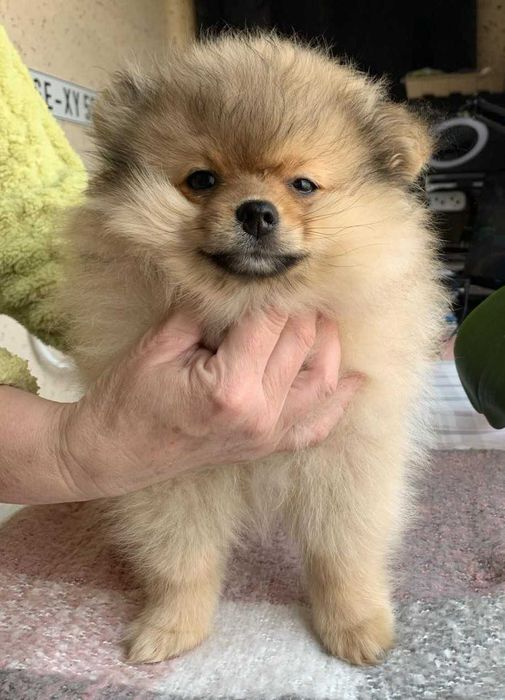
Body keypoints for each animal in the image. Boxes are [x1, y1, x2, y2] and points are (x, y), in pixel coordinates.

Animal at [58, 33, 446, 665]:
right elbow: (181, 556)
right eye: (202, 180)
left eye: (302, 185)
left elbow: (343, 550)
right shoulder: (166, 462)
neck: (247, 306)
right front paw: (172, 626)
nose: (257, 212)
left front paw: (354, 624)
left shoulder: (348, 453)